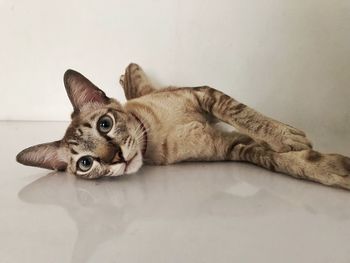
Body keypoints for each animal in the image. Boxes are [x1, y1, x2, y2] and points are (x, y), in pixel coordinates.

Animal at [15, 63, 350, 190]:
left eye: (105, 124)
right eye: (85, 164)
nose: (117, 157)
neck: (154, 133)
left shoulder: (204, 95)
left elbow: (246, 116)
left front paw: (286, 136)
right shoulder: (233, 147)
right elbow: (281, 160)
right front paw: (335, 169)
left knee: (138, 82)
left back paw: (129, 75)